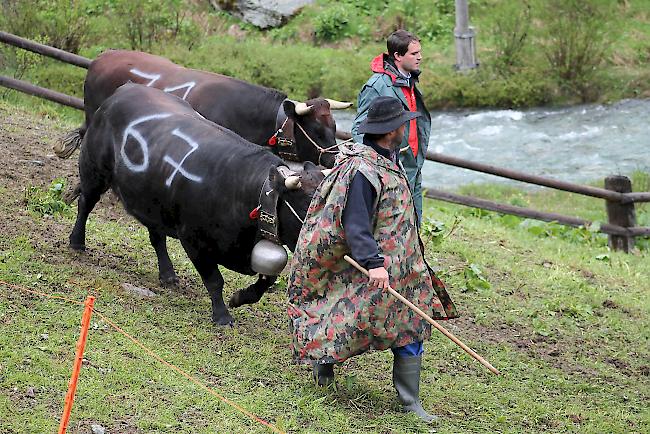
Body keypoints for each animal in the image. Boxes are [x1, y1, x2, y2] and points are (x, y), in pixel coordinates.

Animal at [69, 83, 324, 324]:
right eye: (305, 206)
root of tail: (125, 89)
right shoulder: (193, 239)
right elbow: (215, 280)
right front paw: (222, 316)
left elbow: (266, 281)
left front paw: (239, 298)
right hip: (94, 172)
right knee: (85, 204)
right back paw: (77, 242)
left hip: (151, 199)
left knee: (156, 236)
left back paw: (168, 274)